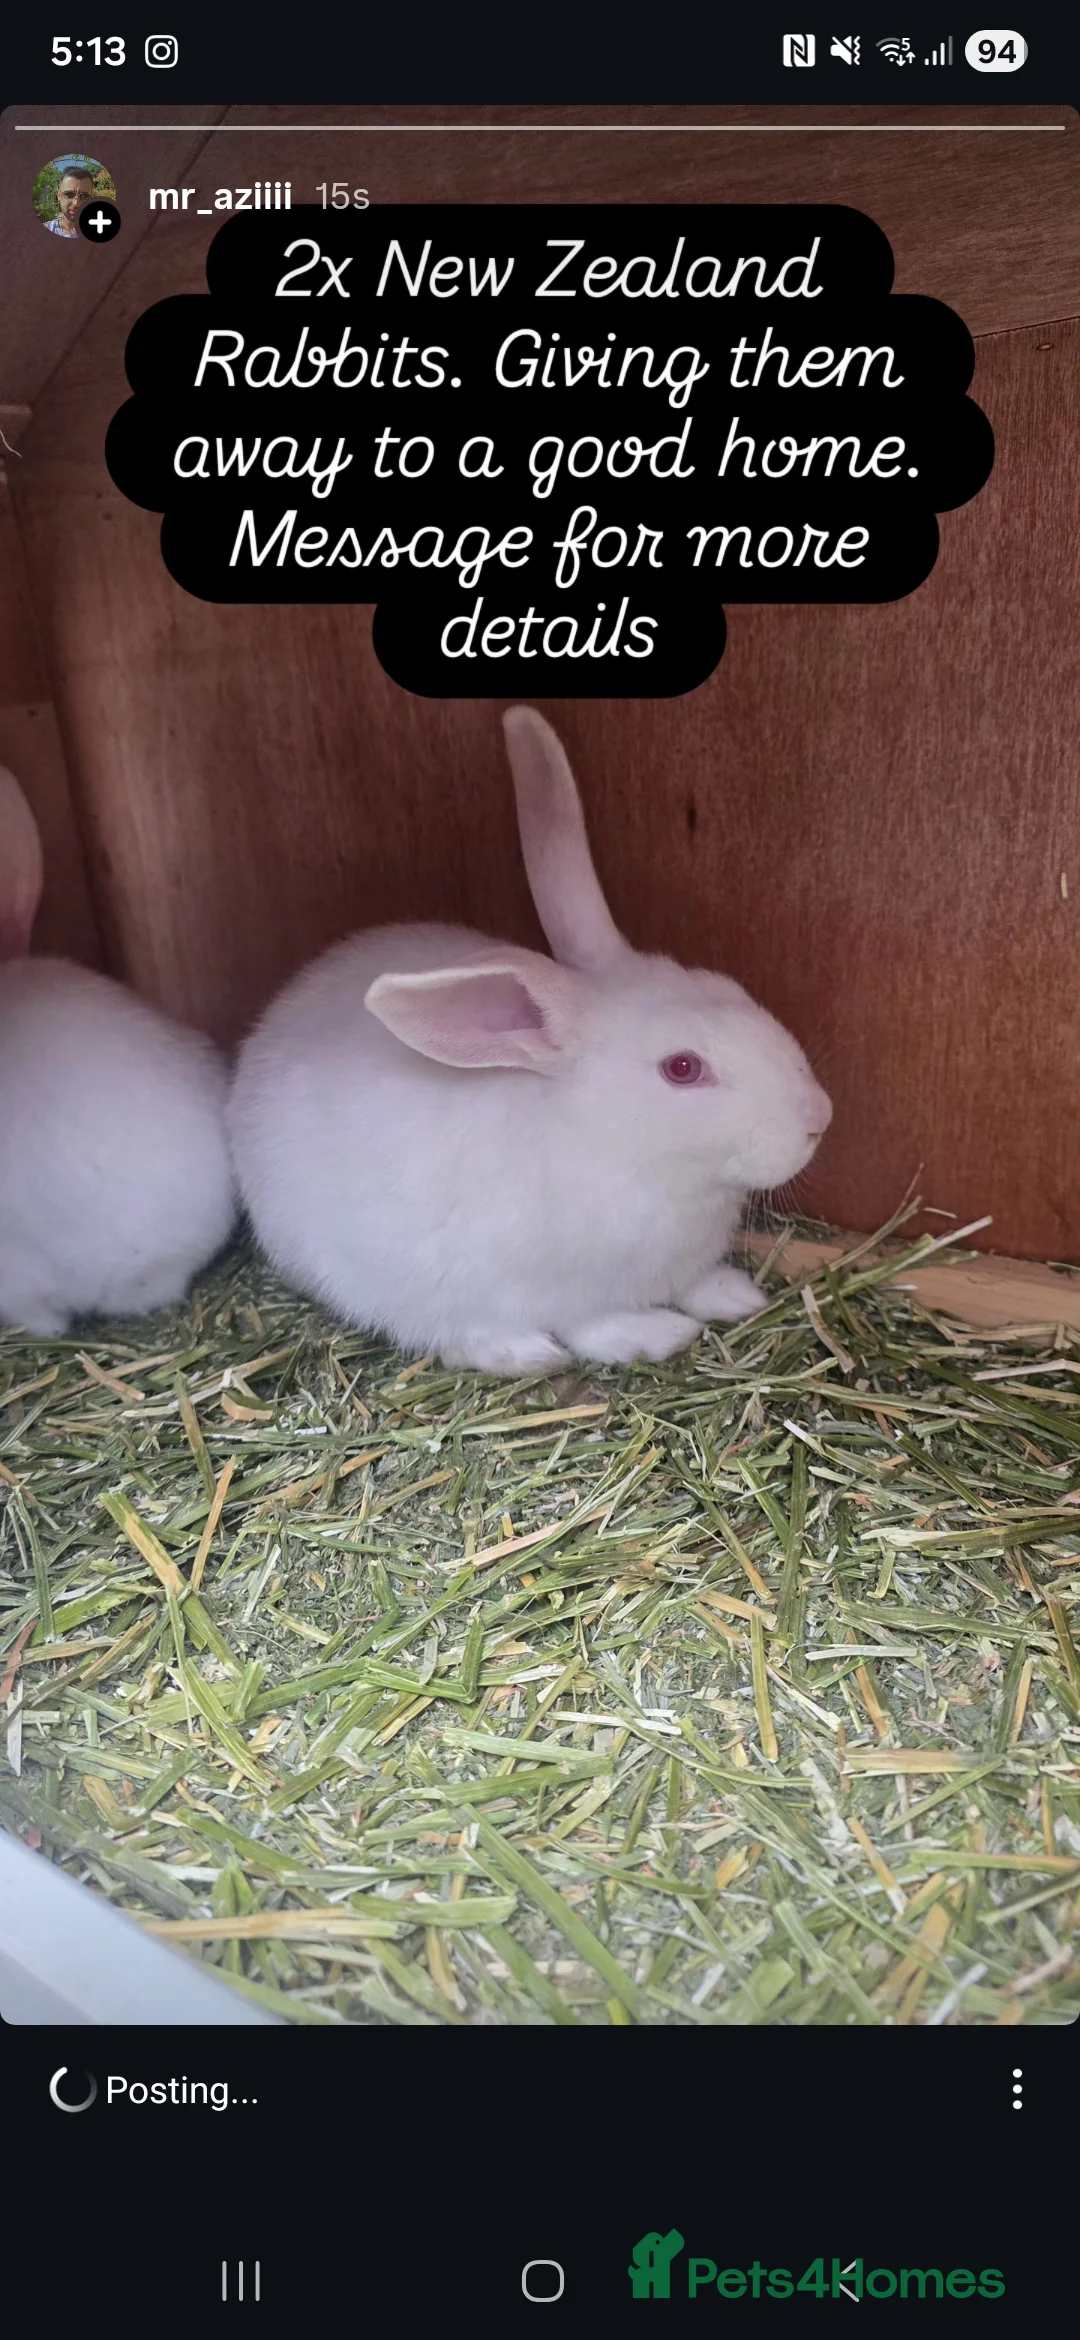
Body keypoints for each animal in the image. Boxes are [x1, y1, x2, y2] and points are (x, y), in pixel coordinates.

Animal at [229, 710, 832, 1376]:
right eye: (682, 1068)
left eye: (728, 986)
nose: (819, 1116)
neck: (616, 1148)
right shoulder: (557, 1287)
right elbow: (596, 1326)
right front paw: (659, 1334)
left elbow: (694, 1282)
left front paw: (734, 1294)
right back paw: (524, 1353)